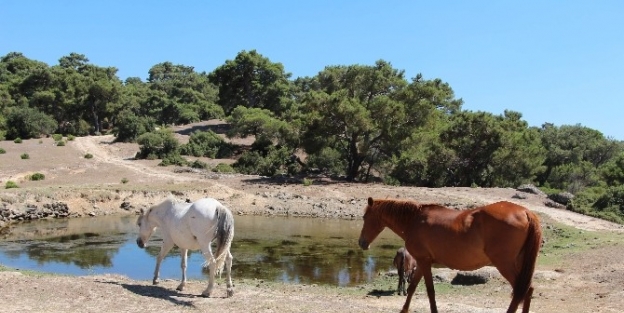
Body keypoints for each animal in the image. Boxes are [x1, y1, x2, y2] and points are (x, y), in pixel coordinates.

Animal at [358, 197, 544, 312]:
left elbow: (430, 291)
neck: (414, 220)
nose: (361, 243)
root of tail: (526, 212)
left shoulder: (424, 262)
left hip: (504, 264)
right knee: (528, 290)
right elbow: (412, 288)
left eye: (365, 216)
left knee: (521, 291)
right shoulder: (422, 262)